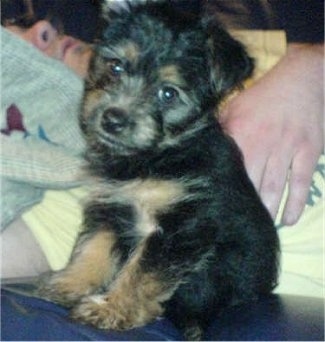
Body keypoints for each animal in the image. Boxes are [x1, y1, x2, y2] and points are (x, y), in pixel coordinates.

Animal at [38, 2, 280, 340]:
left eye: (168, 93)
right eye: (116, 67)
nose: (113, 119)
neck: (154, 158)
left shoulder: (180, 229)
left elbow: (140, 273)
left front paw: (111, 309)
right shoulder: (112, 209)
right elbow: (92, 249)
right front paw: (69, 283)